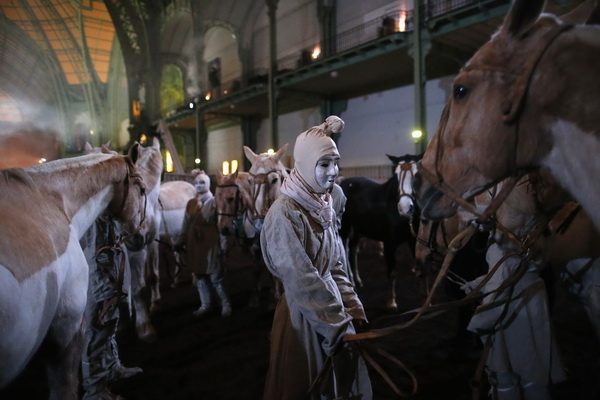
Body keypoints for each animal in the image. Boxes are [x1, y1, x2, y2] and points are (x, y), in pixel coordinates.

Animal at [340, 153, 420, 310]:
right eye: (396, 174)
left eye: (416, 174)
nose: (405, 208)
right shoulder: (389, 243)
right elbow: (392, 272)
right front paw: (391, 302)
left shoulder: (413, 240)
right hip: (345, 227)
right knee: (345, 249)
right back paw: (351, 281)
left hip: (359, 228)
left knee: (353, 250)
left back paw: (357, 280)